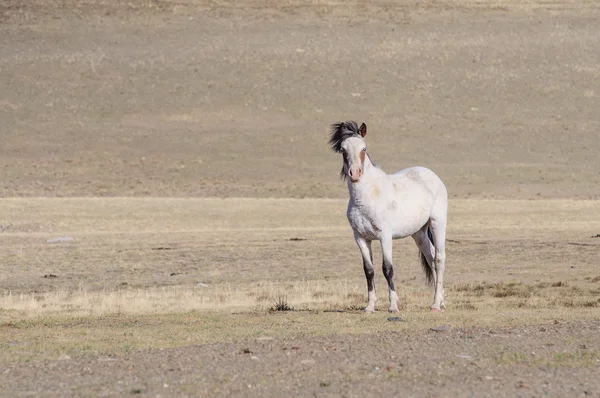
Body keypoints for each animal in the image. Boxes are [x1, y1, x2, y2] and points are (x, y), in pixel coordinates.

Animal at [328, 119, 450, 312]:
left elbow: (387, 269)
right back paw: (441, 301)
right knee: (431, 260)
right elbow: (369, 270)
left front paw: (393, 306)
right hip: (419, 233)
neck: (366, 197)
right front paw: (369, 307)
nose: (355, 174)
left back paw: (436, 304)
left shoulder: (385, 236)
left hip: (437, 223)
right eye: (343, 149)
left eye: (364, 148)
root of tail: (432, 176)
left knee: (438, 260)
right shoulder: (361, 238)